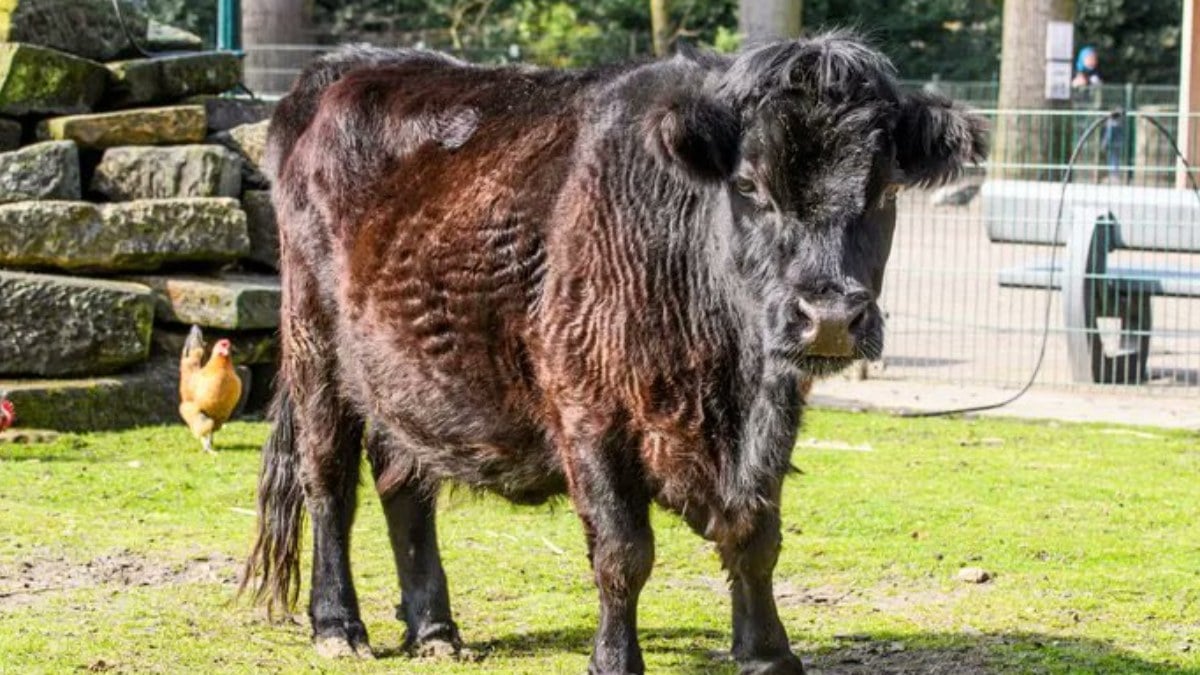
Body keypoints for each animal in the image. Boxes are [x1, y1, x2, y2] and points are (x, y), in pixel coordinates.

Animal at [241, 32, 984, 672]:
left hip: (405, 373)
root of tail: (342, 69)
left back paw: (435, 630)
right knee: (327, 479)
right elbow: (624, 551)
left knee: (403, 484)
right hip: (314, 350)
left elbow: (755, 534)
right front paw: (615, 659)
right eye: (749, 185)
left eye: (885, 188)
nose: (828, 317)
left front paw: (768, 653)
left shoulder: (774, 413)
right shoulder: (588, 410)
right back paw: (338, 625)